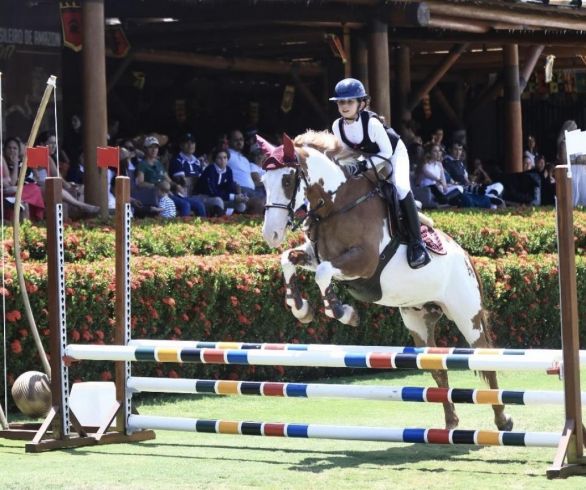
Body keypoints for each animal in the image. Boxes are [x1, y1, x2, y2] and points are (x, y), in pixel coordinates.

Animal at [258, 131, 512, 432]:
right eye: (262, 181)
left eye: (287, 180)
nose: (271, 234)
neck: (336, 205)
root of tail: (466, 257)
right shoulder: (315, 255)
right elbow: (288, 259)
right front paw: (301, 308)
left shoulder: (363, 262)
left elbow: (323, 273)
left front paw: (343, 312)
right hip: (418, 321)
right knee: (437, 367)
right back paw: (450, 423)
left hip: (466, 314)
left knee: (484, 359)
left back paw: (503, 420)